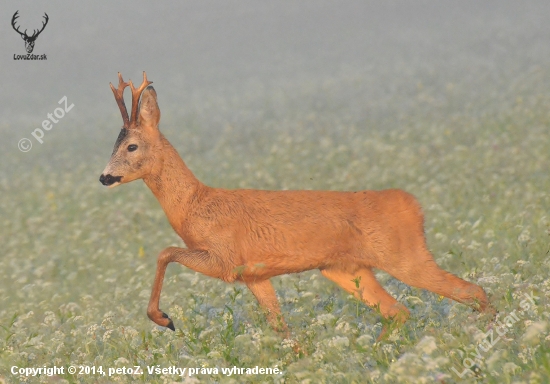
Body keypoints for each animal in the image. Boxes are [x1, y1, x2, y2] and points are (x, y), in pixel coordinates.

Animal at [100, 72, 496, 342]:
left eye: (132, 146)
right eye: (113, 145)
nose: (104, 177)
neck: (195, 205)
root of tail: (412, 204)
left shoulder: (225, 260)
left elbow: (165, 252)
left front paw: (164, 318)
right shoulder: (254, 276)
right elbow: (283, 331)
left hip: (404, 255)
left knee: (472, 292)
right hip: (346, 269)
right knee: (398, 311)